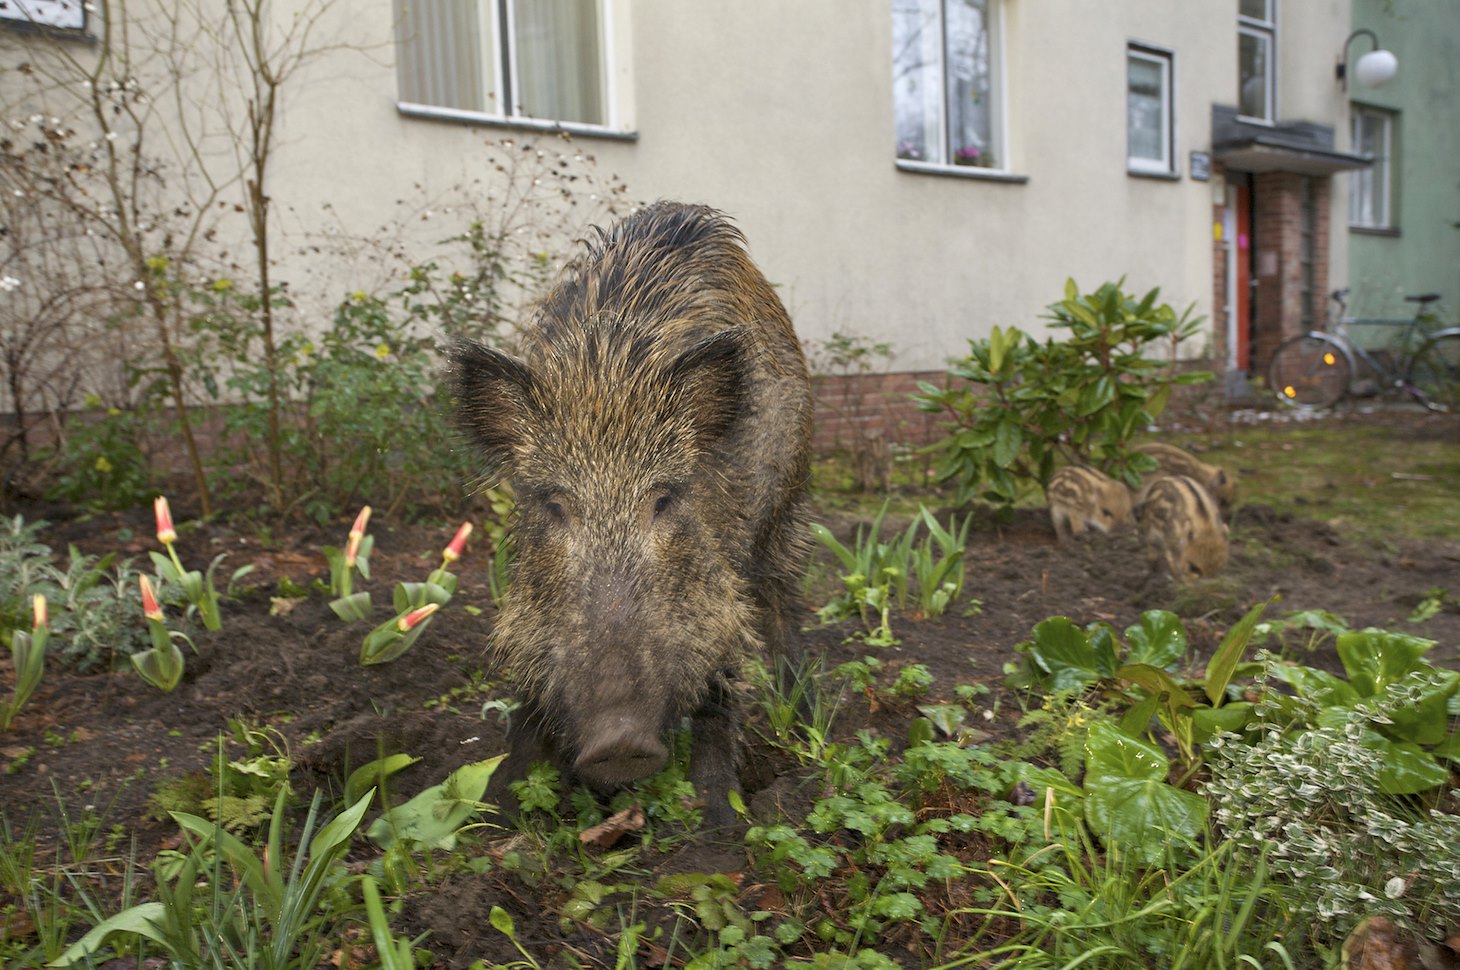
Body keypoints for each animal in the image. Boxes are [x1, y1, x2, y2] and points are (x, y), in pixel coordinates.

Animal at [453, 201, 813, 826]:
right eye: (553, 503)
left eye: (664, 499)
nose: (619, 742)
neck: (607, 374)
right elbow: (529, 692)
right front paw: (499, 805)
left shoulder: (721, 571)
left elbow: (721, 673)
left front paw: (717, 819)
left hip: (785, 513)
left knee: (779, 602)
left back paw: (800, 710)